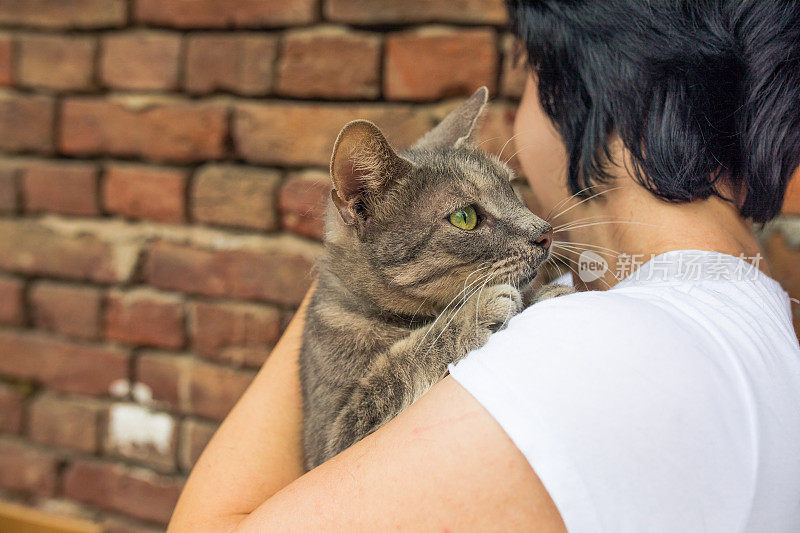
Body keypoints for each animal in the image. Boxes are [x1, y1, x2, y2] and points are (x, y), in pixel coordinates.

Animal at [298, 87, 568, 470]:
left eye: (511, 189)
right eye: (465, 217)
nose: (544, 233)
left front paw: (543, 295)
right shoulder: (331, 439)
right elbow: (397, 366)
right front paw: (472, 312)